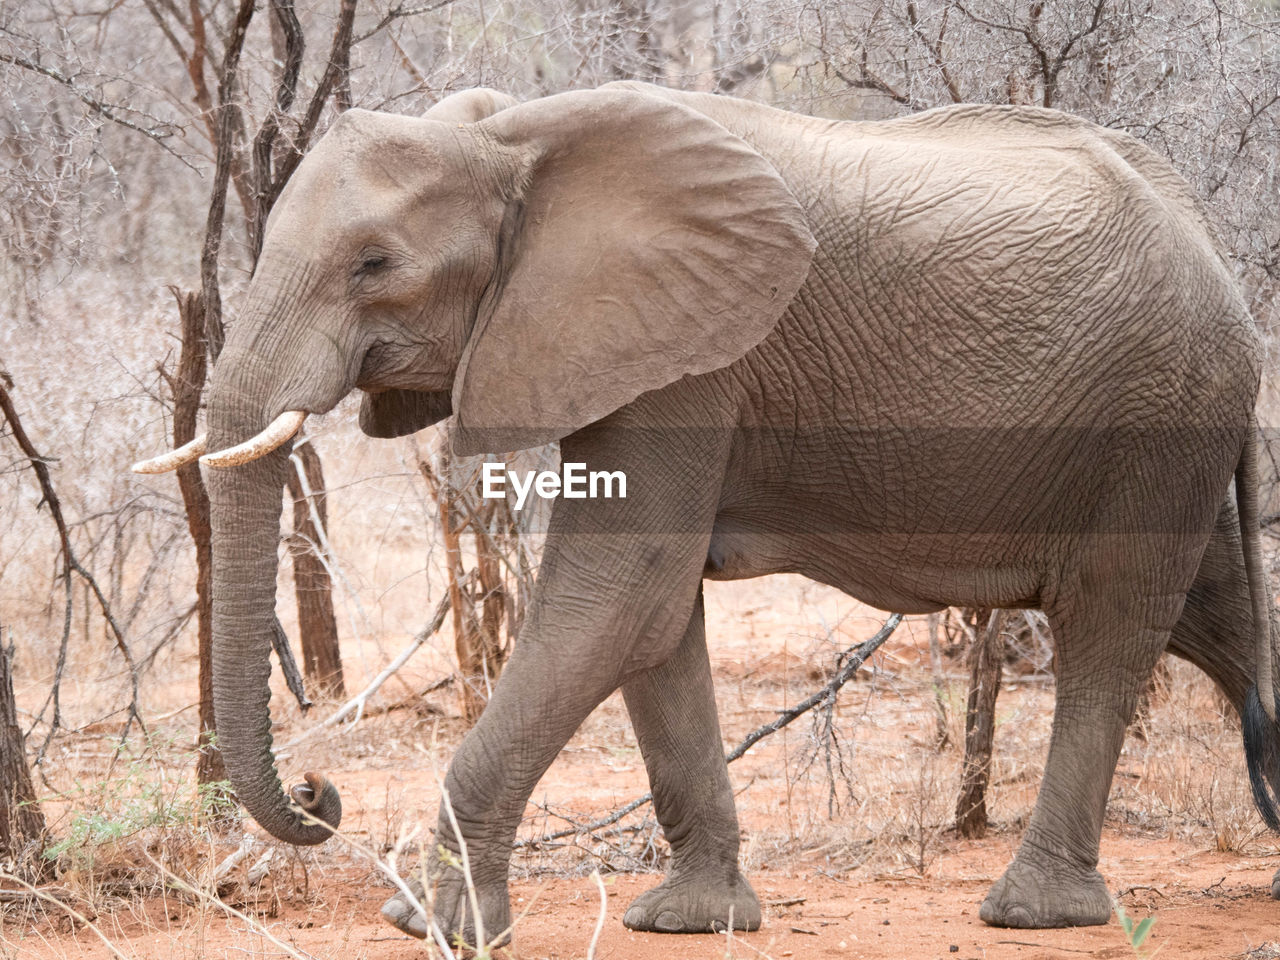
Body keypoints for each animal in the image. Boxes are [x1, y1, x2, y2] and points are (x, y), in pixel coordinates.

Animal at [132, 84, 1280, 947]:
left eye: (374, 265)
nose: (319, 793)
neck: (514, 140)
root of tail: (1208, 239)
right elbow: (650, 617)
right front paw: (690, 921)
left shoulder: (691, 359)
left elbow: (618, 591)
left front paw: (440, 928)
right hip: (1172, 424)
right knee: (1215, 620)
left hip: (1158, 412)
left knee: (1112, 625)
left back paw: (1032, 913)